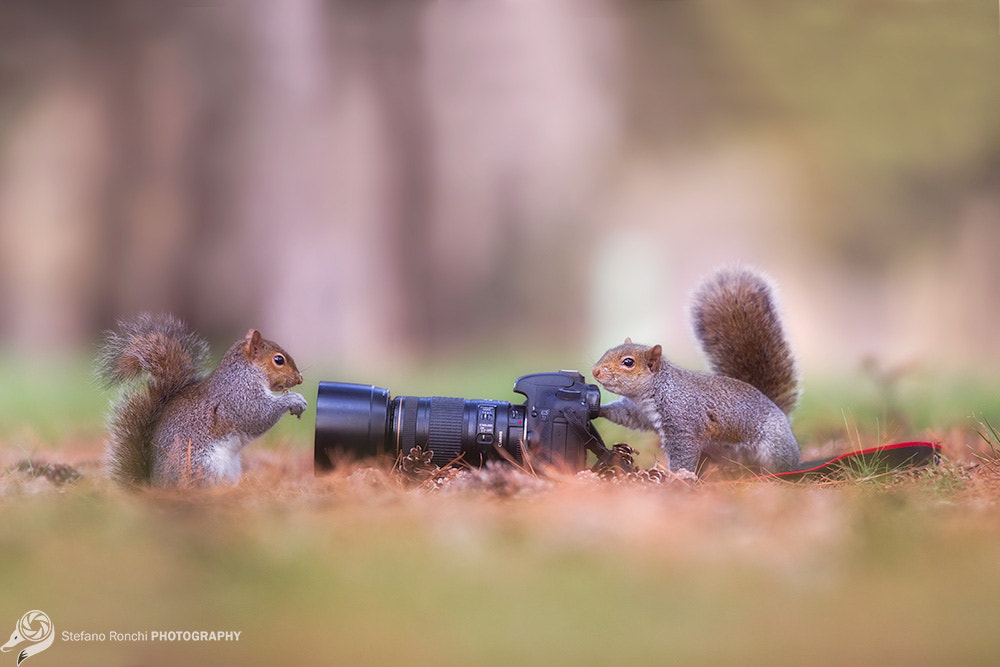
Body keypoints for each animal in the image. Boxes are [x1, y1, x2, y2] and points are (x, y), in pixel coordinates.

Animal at [100, 314, 308, 486]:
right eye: (279, 360)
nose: (299, 379)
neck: (245, 372)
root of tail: (154, 483)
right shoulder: (239, 396)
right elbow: (257, 414)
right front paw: (293, 399)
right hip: (202, 465)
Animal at [588, 268, 800, 478]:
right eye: (608, 350)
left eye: (628, 362)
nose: (594, 371)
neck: (656, 391)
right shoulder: (639, 413)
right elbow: (624, 415)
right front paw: (599, 409)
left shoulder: (683, 423)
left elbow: (683, 453)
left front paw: (676, 477)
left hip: (774, 447)